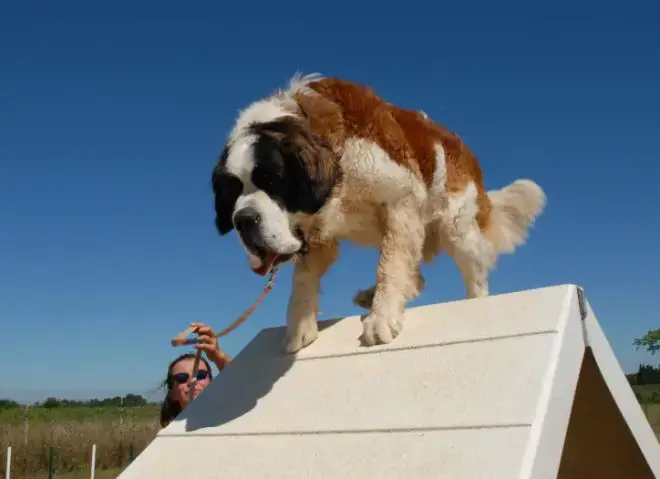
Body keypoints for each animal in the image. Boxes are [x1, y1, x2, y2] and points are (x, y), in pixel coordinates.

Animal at [213, 73, 548, 354]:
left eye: (273, 180)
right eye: (231, 194)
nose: (243, 220)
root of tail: (465, 150)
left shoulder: (402, 201)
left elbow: (390, 265)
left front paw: (382, 317)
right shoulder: (318, 231)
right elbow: (304, 278)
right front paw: (300, 327)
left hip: (456, 226)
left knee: (473, 273)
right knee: (417, 275)